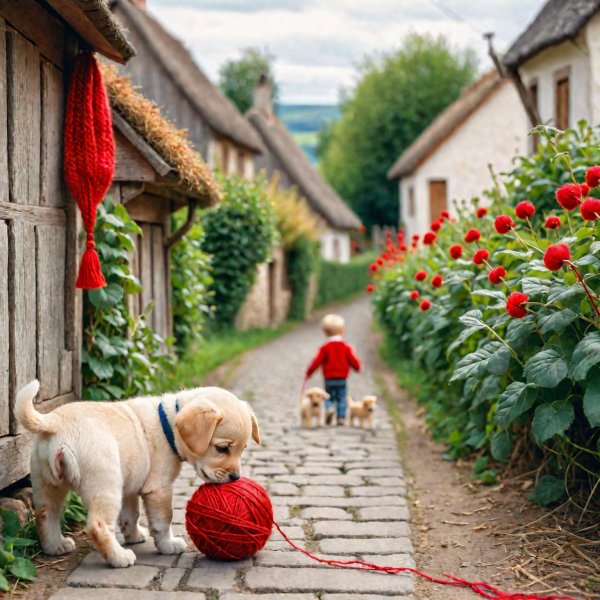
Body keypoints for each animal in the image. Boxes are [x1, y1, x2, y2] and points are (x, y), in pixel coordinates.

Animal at [15, 380, 260, 568]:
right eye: (222, 448)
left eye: (243, 449)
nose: (235, 478)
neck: (168, 425)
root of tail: (54, 421)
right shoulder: (159, 488)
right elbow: (164, 520)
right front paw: (168, 545)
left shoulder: (130, 488)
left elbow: (130, 516)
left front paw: (134, 536)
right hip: (105, 483)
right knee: (98, 525)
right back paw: (119, 558)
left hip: (47, 483)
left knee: (45, 515)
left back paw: (55, 546)